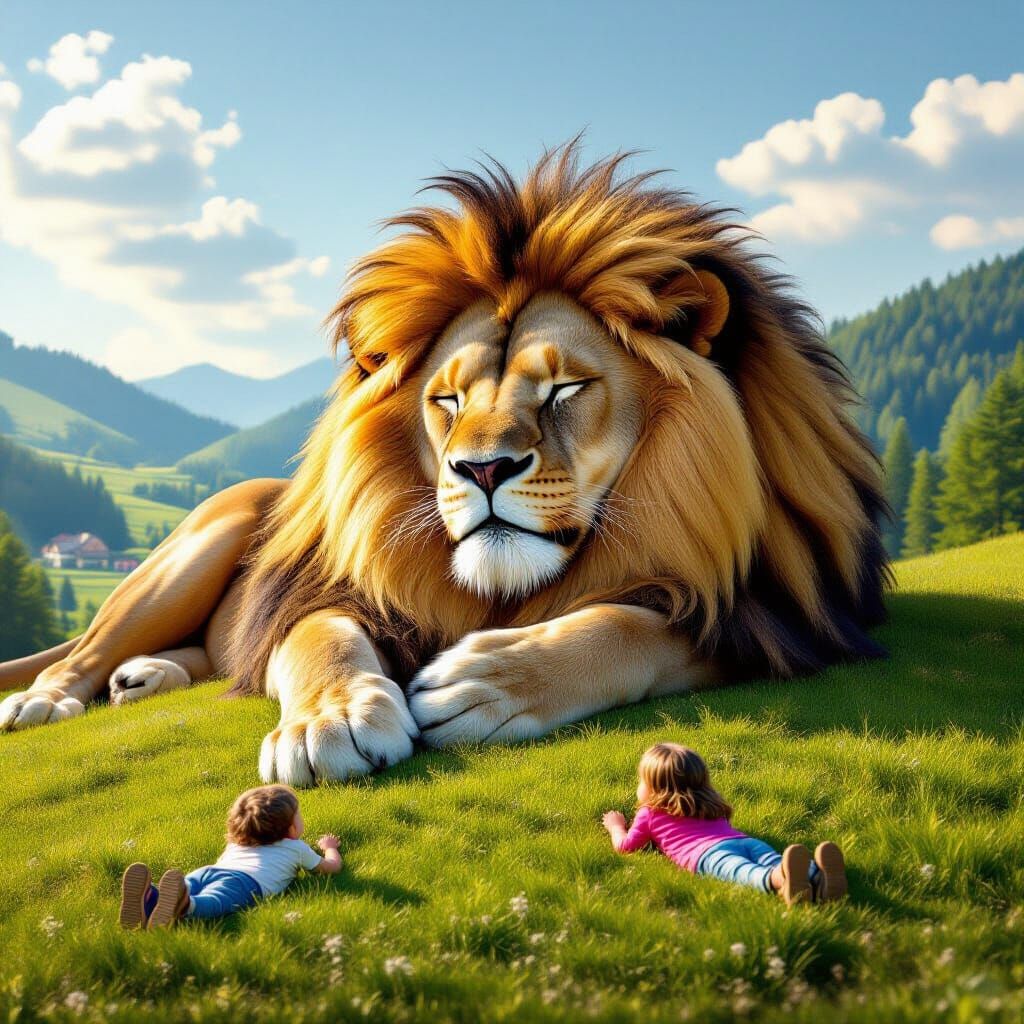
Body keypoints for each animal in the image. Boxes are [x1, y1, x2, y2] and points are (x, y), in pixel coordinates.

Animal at [0, 144, 888, 785]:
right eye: (448, 400)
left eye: (566, 387)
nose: (483, 470)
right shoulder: (323, 594)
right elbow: (319, 637)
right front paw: (330, 719)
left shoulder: (758, 611)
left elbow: (627, 624)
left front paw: (488, 682)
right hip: (195, 548)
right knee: (83, 652)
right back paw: (48, 701)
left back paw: (146, 678)